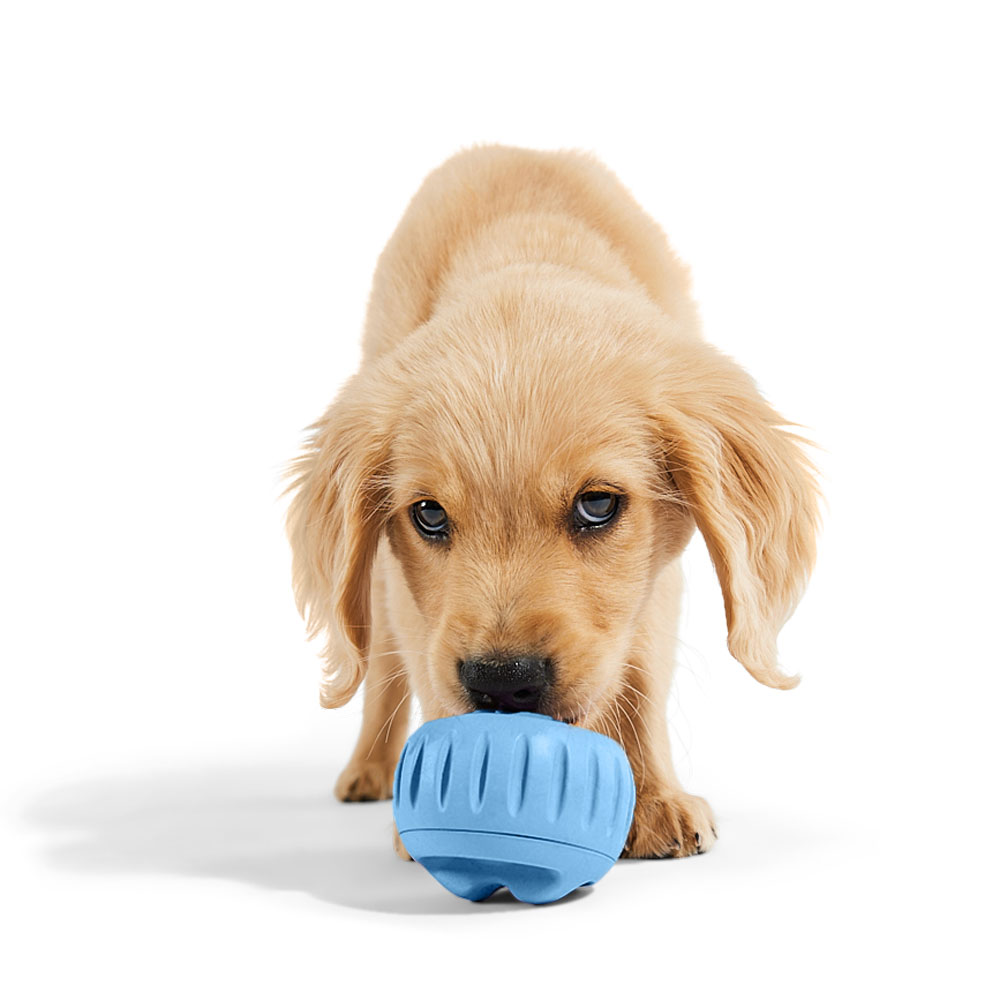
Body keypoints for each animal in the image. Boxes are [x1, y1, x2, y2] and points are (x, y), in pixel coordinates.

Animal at [286, 146, 816, 860]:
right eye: (430, 514)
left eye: (596, 505)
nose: (502, 683)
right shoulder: (410, 591)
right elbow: (421, 662)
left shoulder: (655, 574)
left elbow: (641, 670)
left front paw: (655, 799)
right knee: (383, 668)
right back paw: (369, 767)